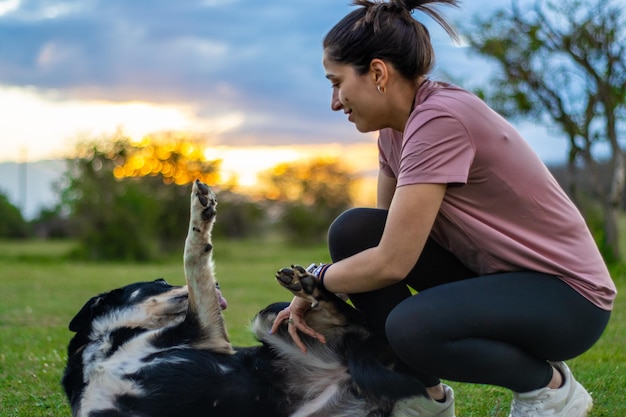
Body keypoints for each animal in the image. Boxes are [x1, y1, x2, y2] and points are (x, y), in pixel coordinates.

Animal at [62, 180, 424, 416]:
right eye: (160, 281)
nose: (220, 284)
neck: (108, 345)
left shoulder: (206, 334)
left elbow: (192, 255)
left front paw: (200, 210)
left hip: (268, 317)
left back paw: (308, 288)